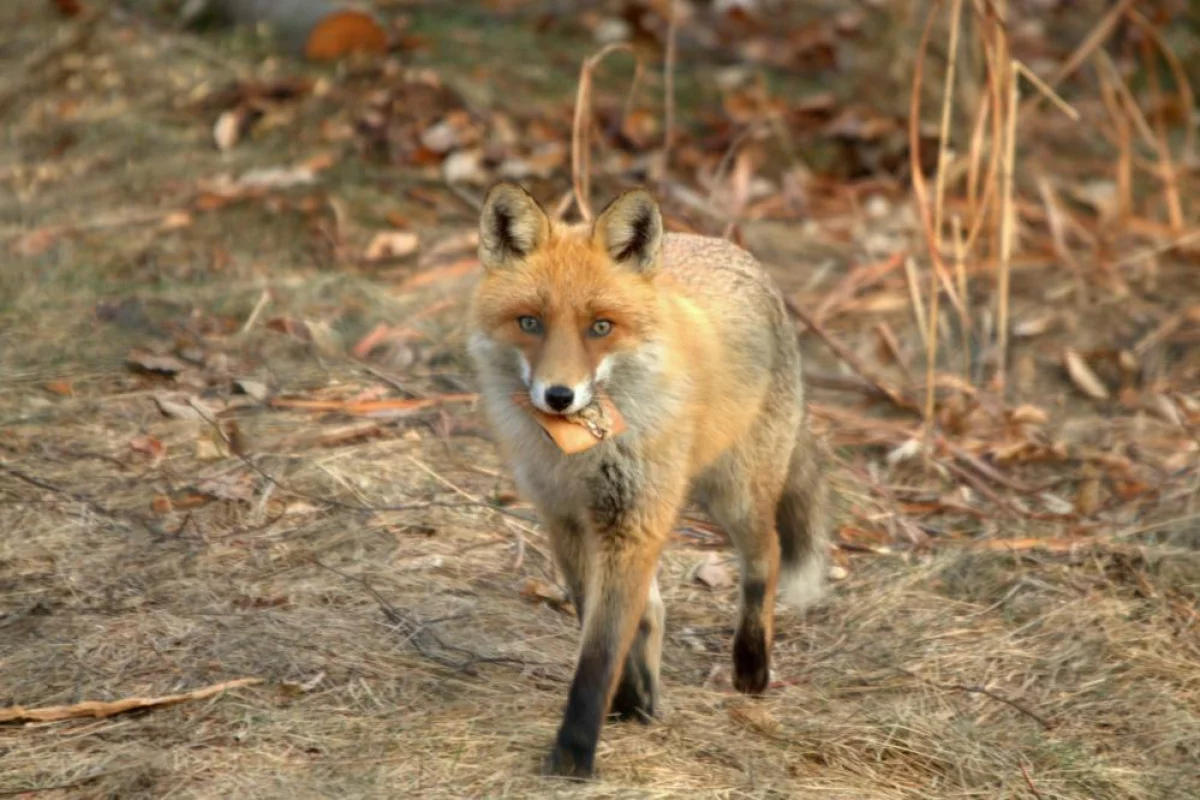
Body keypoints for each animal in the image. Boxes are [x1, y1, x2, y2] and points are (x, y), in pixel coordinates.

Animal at [463, 183, 830, 782]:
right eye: (530, 322)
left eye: (600, 327)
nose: (559, 396)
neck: (580, 452)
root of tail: (734, 249)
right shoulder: (566, 520)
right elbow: (603, 622)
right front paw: (628, 703)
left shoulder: (632, 519)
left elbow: (599, 654)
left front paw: (573, 756)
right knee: (655, 608)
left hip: (733, 494)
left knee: (767, 558)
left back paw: (751, 667)